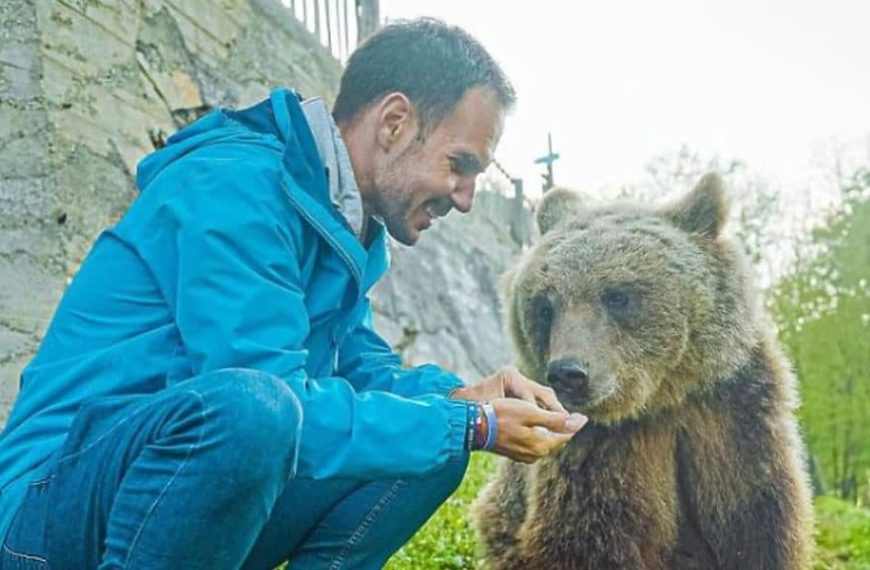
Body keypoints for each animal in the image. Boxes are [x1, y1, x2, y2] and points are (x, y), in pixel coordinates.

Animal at [474, 173, 816, 568]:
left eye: (617, 295)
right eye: (544, 305)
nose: (568, 373)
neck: (662, 397)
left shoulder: (731, 413)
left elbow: (756, 524)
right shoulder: (605, 452)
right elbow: (590, 537)